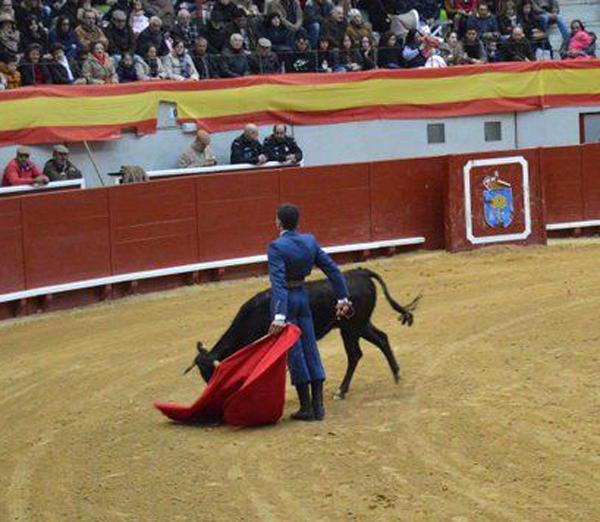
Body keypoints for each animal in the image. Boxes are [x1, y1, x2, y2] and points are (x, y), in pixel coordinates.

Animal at [185, 266, 420, 396]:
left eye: (209, 372)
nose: (209, 389)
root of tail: (362, 273)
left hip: (351, 328)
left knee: (355, 354)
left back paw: (341, 391)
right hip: (360, 325)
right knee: (382, 339)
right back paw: (396, 374)